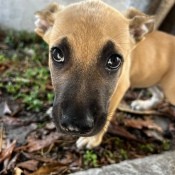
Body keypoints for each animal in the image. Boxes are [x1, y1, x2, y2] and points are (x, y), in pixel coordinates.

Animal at [34, 0, 175, 149]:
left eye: (114, 60)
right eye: (57, 54)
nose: (74, 125)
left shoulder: (120, 88)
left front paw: (93, 139)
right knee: (159, 95)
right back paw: (144, 105)